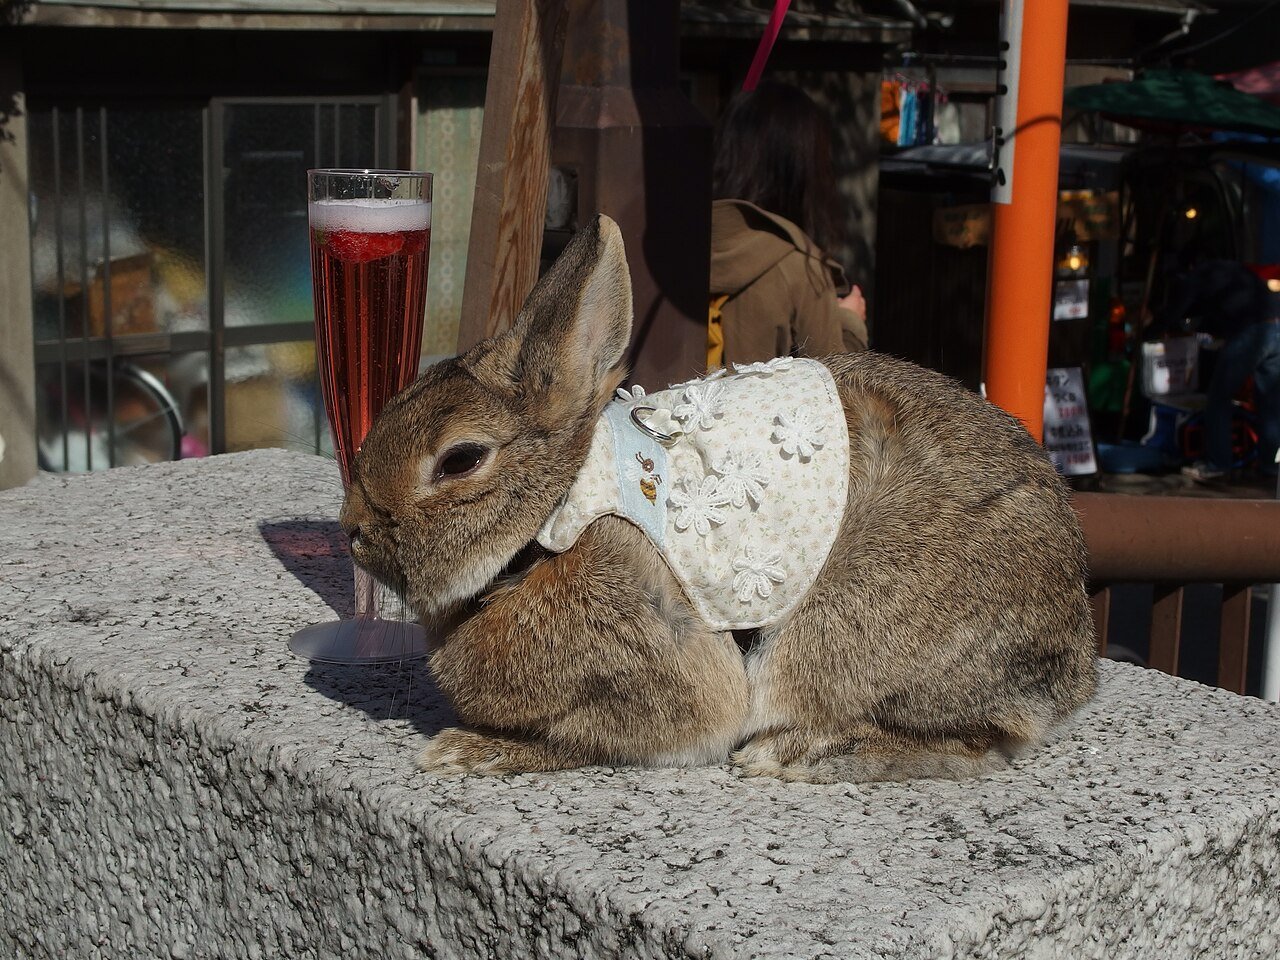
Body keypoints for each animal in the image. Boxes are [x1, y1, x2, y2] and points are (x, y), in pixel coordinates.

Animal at [341, 214, 1097, 783]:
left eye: (460, 460)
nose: (352, 529)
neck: (546, 528)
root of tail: (1074, 651)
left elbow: (595, 741)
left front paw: (465, 751)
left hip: (844, 633)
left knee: (974, 740)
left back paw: (787, 754)